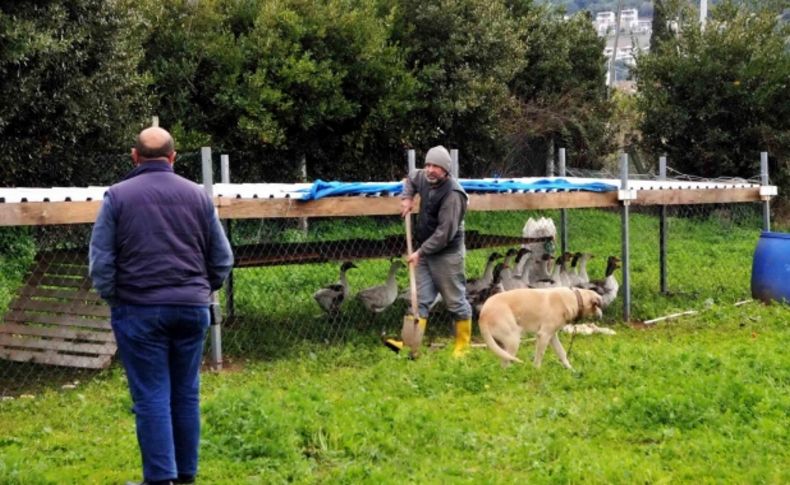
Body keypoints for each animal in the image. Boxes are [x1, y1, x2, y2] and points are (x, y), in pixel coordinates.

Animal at [476, 286, 608, 368]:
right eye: (599, 305)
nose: (602, 316)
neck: (575, 299)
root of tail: (482, 316)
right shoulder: (543, 335)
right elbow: (539, 357)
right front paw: (537, 371)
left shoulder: (552, 336)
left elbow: (562, 353)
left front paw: (570, 369)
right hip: (513, 339)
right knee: (505, 363)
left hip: (505, 343)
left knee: (503, 359)